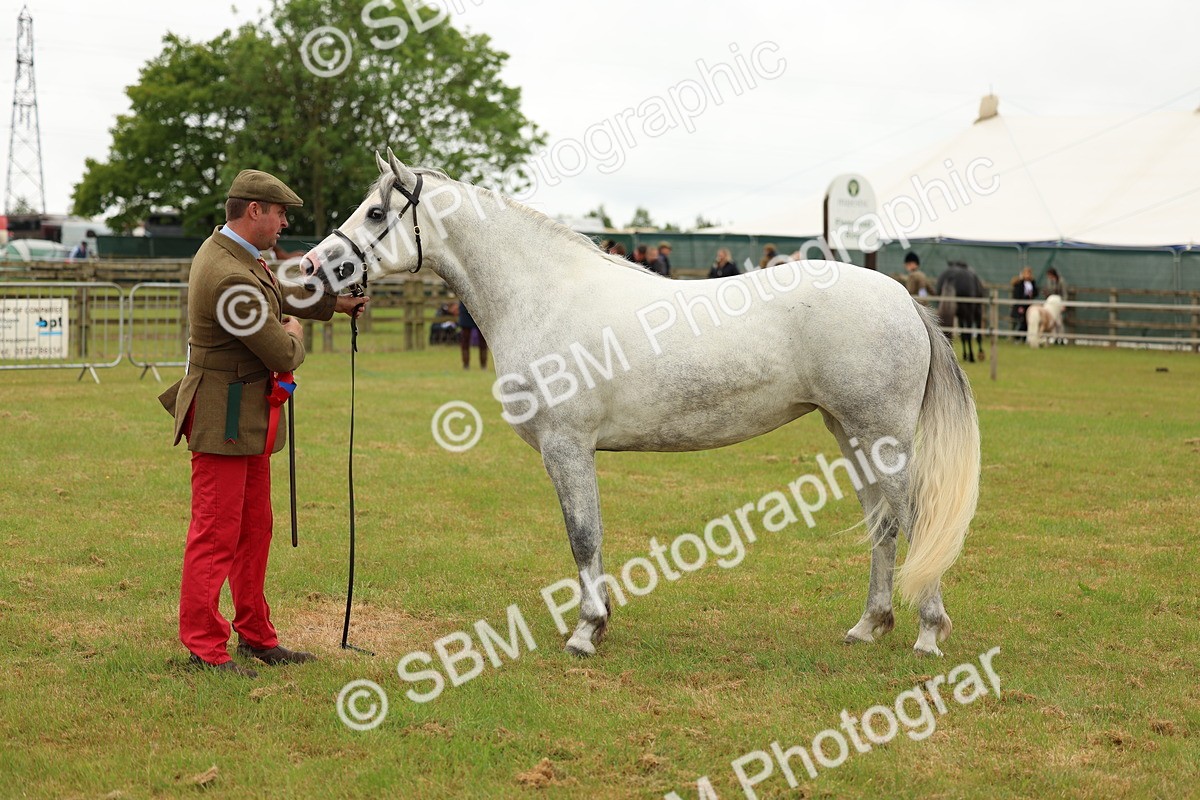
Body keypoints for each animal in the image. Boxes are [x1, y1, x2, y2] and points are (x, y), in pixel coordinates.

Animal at [301, 151, 981, 658]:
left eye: (377, 211)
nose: (310, 267)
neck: (545, 294)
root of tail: (902, 298)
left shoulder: (567, 446)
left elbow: (582, 535)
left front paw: (585, 631)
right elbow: (590, 536)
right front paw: (597, 622)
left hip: (882, 435)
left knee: (913, 518)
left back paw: (927, 631)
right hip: (850, 433)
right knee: (884, 525)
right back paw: (869, 625)